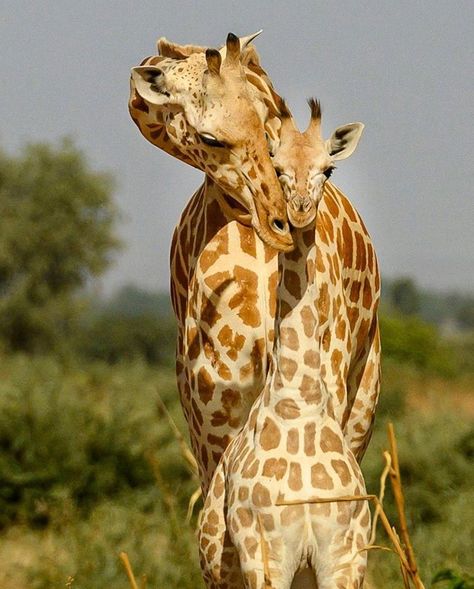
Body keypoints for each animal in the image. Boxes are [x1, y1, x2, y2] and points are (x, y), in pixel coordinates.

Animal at [198, 109, 372, 584]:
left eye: (328, 169)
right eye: (276, 168)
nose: (299, 210)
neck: (301, 400)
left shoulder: (345, 553)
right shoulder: (264, 551)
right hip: (220, 567)